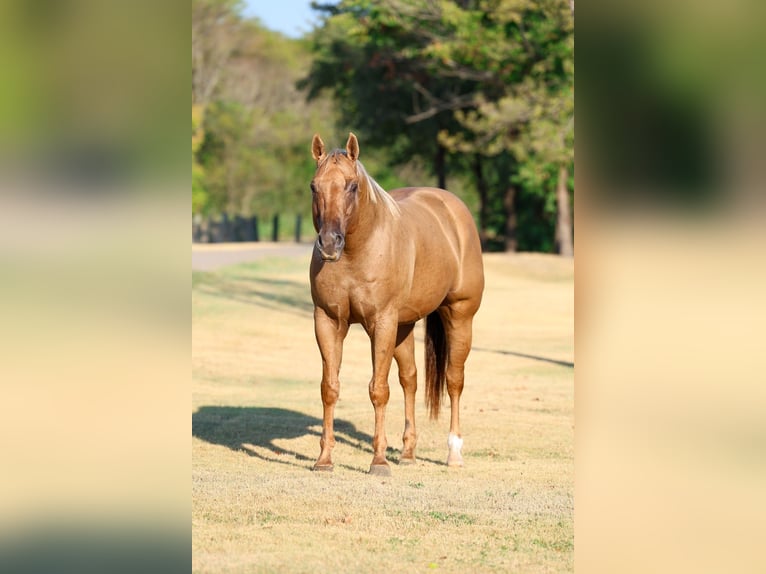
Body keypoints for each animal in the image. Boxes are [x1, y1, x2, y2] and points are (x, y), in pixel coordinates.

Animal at [309, 132, 484, 476]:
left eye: (352, 186)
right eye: (314, 186)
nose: (329, 243)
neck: (356, 252)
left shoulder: (382, 323)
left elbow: (379, 389)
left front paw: (378, 461)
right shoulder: (327, 321)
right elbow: (329, 387)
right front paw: (324, 459)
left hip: (459, 316)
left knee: (454, 381)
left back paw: (454, 453)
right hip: (404, 326)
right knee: (411, 380)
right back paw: (408, 452)